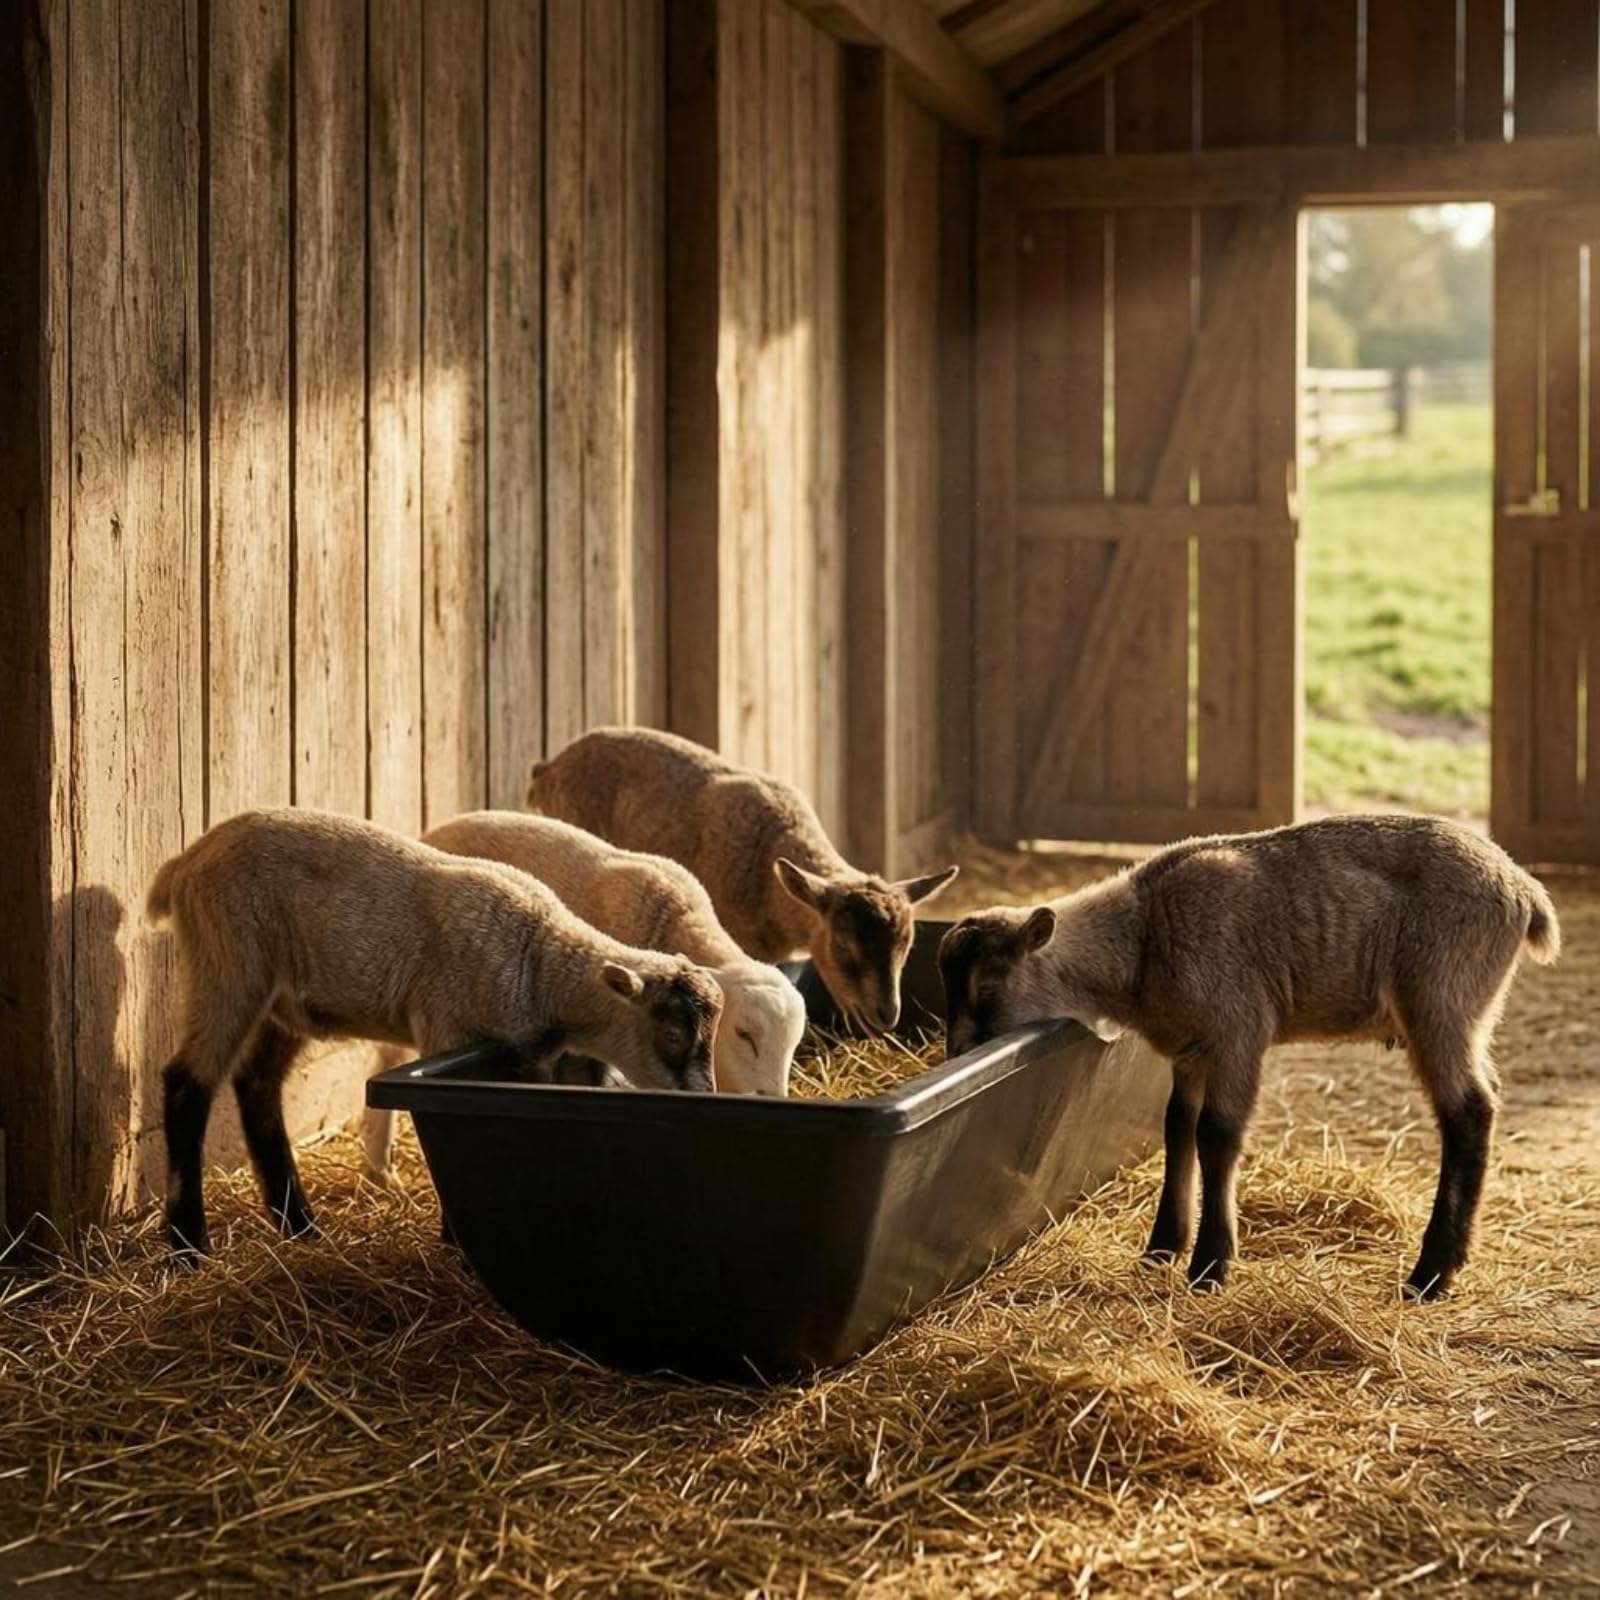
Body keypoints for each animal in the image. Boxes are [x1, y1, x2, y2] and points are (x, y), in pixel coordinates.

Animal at [146, 808, 723, 1257]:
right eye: (674, 1035)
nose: (704, 1097)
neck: (540, 961)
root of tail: (185, 864)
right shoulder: (446, 1029)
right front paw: (454, 1241)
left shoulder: (534, 1059)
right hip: (231, 962)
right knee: (187, 1083)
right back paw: (190, 1244)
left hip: (284, 999)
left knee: (257, 1086)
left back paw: (300, 1227)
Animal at [937, 814, 1561, 1300]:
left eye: (986, 989)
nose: (956, 1053)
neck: (1142, 938)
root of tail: (1523, 891)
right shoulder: (1190, 1050)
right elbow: (1177, 1129)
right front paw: (1162, 1247)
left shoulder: (1238, 1033)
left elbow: (1216, 1136)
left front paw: (1210, 1266)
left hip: (1441, 997)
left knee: (1468, 1113)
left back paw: (1431, 1274)